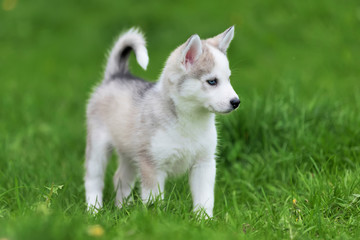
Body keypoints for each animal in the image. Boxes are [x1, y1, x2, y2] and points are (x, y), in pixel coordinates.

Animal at [85, 26, 239, 218]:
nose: (236, 102)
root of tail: (117, 75)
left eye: (229, 79)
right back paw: (93, 210)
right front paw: (155, 219)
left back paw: (124, 209)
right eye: (212, 81)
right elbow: (154, 199)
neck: (190, 120)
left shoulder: (204, 163)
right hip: (98, 148)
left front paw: (204, 220)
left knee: (120, 178)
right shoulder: (152, 165)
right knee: (93, 179)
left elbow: (205, 198)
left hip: (130, 154)